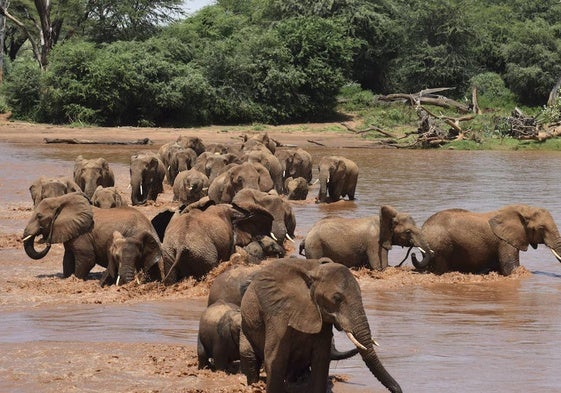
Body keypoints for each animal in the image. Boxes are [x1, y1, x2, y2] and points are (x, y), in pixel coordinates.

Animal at [21, 191, 162, 280]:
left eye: (39, 216)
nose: (45, 240)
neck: (62, 199)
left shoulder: (82, 234)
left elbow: (87, 259)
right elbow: (68, 259)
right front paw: (67, 278)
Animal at [238, 258, 400, 392]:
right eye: (337, 298)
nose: (399, 389)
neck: (313, 272)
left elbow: (321, 359)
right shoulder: (278, 311)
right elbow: (276, 359)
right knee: (249, 356)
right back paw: (254, 385)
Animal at [300, 204, 430, 268]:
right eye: (408, 232)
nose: (413, 254)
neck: (383, 221)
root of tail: (307, 235)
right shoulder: (374, 243)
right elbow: (380, 267)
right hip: (314, 246)